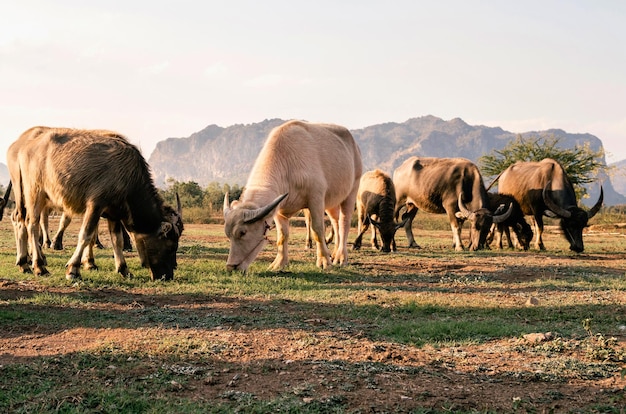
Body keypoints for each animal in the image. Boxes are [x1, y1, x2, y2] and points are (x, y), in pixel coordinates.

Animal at [223, 119, 360, 272]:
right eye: (227, 234)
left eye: (242, 232)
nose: (231, 267)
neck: (287, 165)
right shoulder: (278, 209)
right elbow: (282, 235)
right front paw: (279, 263)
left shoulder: (316, 198)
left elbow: (318, 230)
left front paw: (324, 261)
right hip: (332, 201)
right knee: (335, 221)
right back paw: (335, 253)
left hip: (352, 189)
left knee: (344, 222)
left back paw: (341, 257)